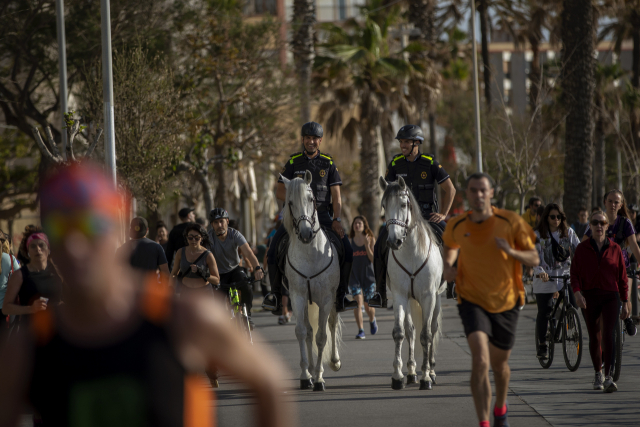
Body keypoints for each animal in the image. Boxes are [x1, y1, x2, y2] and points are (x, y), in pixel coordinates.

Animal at [282, 172, 342, 392]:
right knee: (308, 331)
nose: (306, 233)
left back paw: (334, 362)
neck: (310, 253)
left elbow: (322, 337)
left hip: (334, 299)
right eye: (290, 202)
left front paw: (319, 378)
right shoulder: (297, 297)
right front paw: (306, 376)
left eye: (310, 199)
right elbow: (302, 332)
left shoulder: (325, 299)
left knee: (331, 324)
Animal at [380, 176, 444, 392]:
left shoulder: (428, 296)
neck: (411, 251)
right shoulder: (400, 295)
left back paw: (431, 371)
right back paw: (411, 373)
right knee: (410, 330)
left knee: (432, 329)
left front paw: (426, 377)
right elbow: (400, 333)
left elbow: (426, 335)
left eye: (403, 204)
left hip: (436, 299)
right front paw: (398, 376)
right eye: (384, 205)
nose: (393, 241)